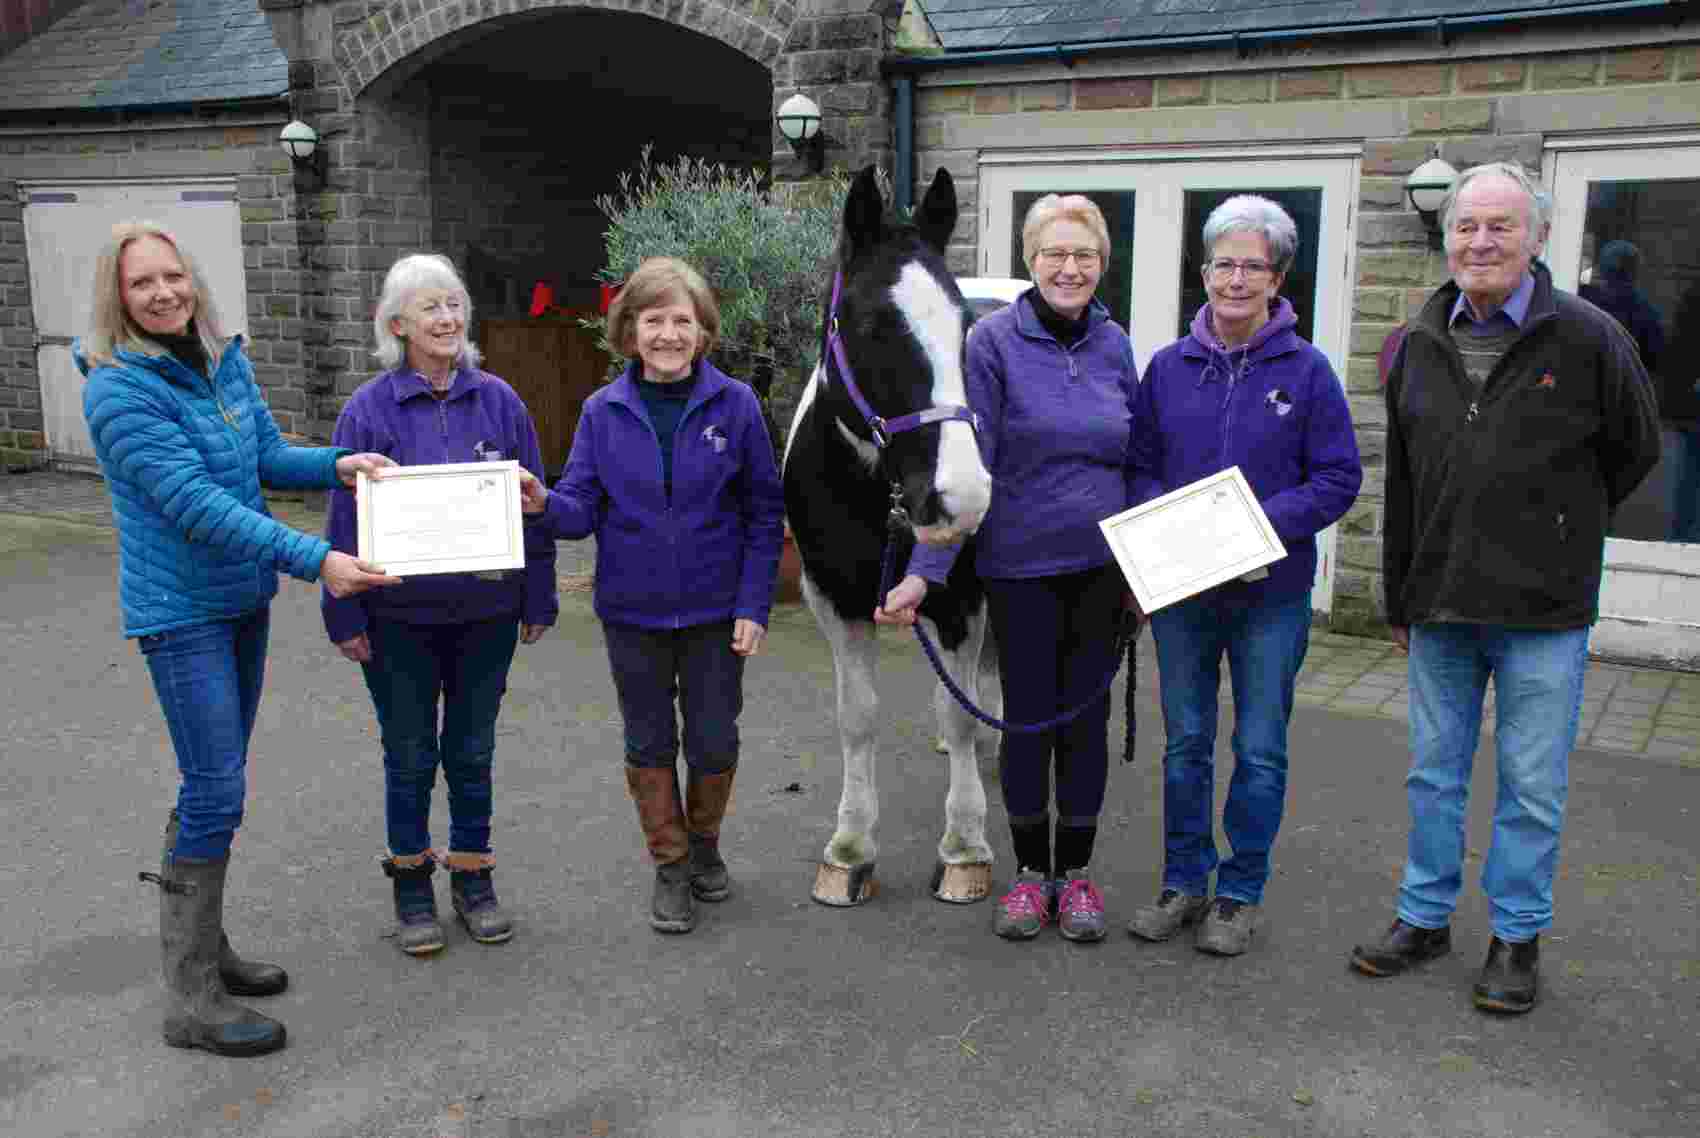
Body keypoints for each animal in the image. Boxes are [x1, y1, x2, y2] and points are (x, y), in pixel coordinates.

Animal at [778, 166, 999, 904]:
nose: (962, 497)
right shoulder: (835, 601)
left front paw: (964, 845)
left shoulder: (964, 600)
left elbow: (961, 712)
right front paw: (851, 848)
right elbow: (858, 716)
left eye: (964, 325)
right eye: (875, 323)